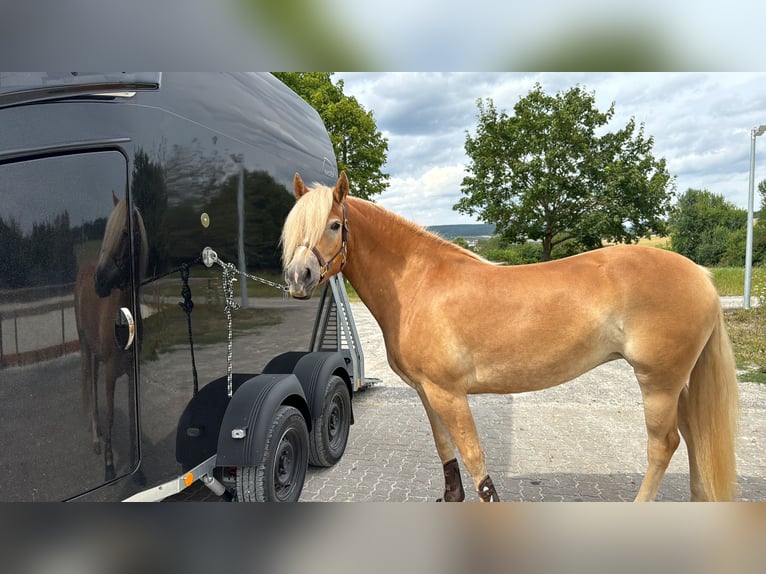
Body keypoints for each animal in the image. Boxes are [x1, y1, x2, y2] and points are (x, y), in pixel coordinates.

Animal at [74, 191, 148, 484]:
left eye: (126, 232)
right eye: (106, 232)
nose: (100, 281)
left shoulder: (131, 372)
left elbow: (132, 416)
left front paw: (137, 471)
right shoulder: (110, 373)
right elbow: (112, 417)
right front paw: (109, 467)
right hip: (87, 350)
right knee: (92, 390)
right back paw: (96, 440)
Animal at [284, 172, 744, 504]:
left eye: (334, 224)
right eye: (292, 230)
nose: (298, 278)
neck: (418, 283)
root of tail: (699, 274)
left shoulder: (450, 393)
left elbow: (473, 456)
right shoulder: (426, 392)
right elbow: (444, 448)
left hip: (659, 383)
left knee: (663, 445)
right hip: (678, 383)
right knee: (694, 438)